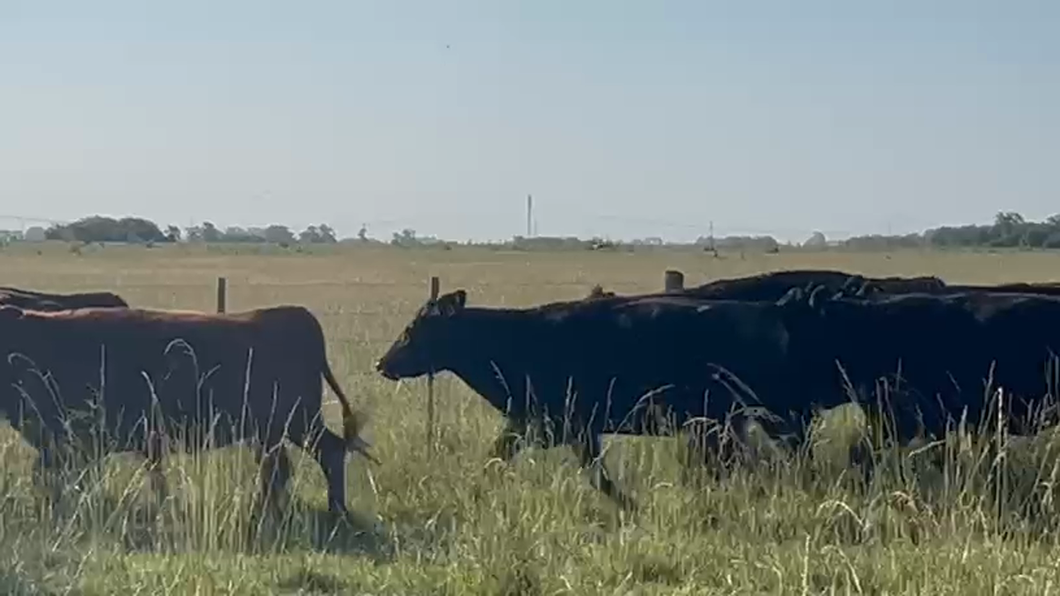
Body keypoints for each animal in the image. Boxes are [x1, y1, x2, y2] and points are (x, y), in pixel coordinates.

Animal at [0, 304, 376, 519]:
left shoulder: (73, 438)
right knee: (282, 467)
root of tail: (297, 316)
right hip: (276, 430)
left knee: (323, 454)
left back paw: (333, 511)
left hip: (297, 422)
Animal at [375, 289, 814, 510]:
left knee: (774, 457)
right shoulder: (536, 424)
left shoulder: (573, 426)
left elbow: (597, 476)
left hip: (755, 415)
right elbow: (497, 455)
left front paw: (632, 507)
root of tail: (776, 309)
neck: (512, 340)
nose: (382, 363)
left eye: (413, 329)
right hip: (729, 420)